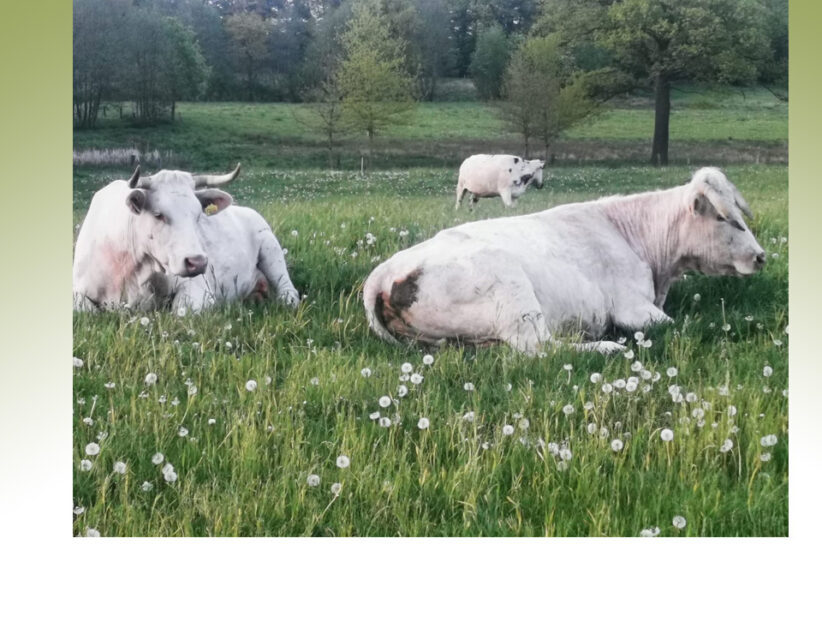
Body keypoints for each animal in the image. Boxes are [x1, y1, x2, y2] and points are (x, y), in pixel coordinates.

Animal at [71, 163, 300, 312]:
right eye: (158, 214)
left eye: (198, 215)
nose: (197, 262)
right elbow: (86, 309)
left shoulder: (199, 292)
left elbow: (179, 313)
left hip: (271, 249)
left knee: (287, 288)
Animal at [366, 167, 768, 356]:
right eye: (725, 218)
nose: (761, 256)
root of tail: (383, 273)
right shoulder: (632, 308)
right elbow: (685, 324)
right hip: (514, 295)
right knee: (540, 348)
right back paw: (607, 348)